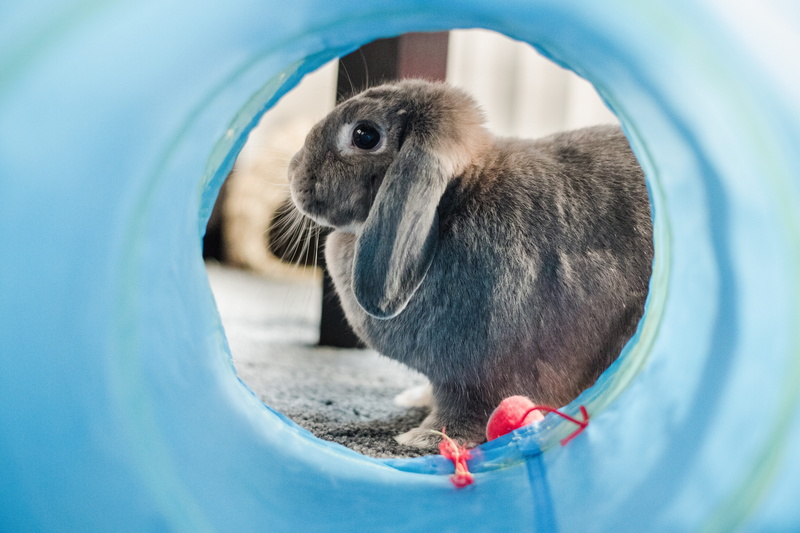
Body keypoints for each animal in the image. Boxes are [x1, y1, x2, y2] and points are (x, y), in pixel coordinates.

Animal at [287, 79, 653, 448]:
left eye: (365, 136)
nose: (292, 169)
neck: (455, 199)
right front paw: (414, 403)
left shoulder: (476, 378)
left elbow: (465, 409)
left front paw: (423, 438)